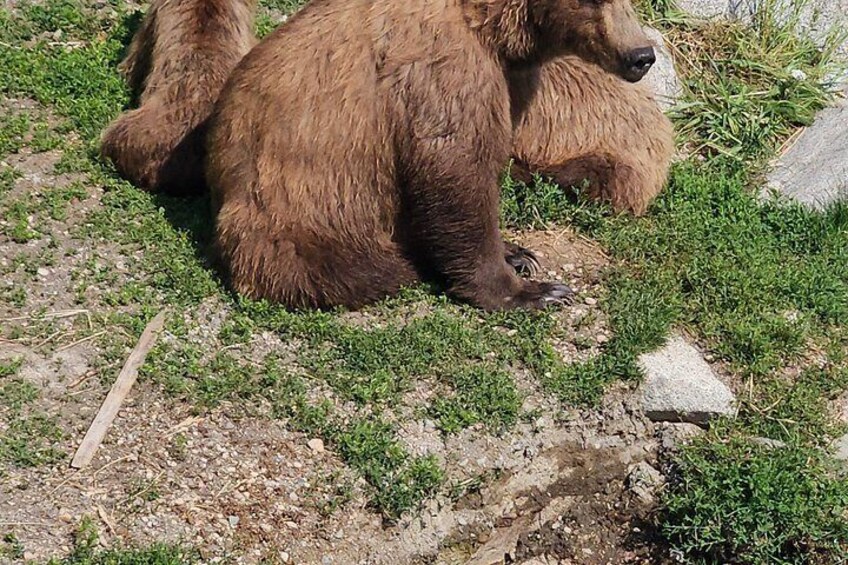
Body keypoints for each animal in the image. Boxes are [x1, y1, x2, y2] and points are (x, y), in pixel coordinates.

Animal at [205, 0, 662, 311]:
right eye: (594, 0)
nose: (642, 55)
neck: (494, 29)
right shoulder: (443, 73)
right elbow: (454, 172)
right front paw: (534, 290)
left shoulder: (510, 81)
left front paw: (517, 252)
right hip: (304, 209)